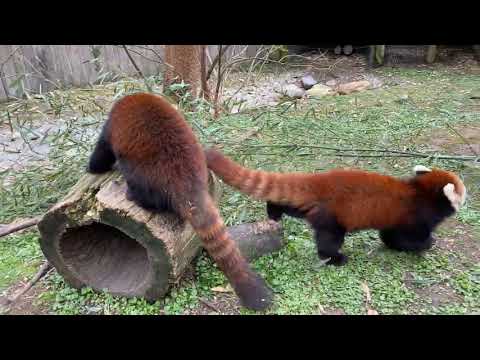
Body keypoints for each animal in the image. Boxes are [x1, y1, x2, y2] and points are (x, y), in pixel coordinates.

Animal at [87, 94, 272, 310]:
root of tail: (186, 180)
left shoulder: (111, 127)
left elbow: (102, 150)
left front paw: (92, 168)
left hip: (144, 171)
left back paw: (134, 196)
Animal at [205, 148, 464, 266]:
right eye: (463, 191)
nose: (468, 196)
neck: (421, 192)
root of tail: (320, 180)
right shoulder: (414, 217)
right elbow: (410, 237)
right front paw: (426, 244)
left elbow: (389, 235)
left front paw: (394, 246)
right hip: (332, 217)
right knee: (329, 239)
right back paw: (335, 257)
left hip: (309, 207)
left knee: (290, 206)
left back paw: (274, 212)